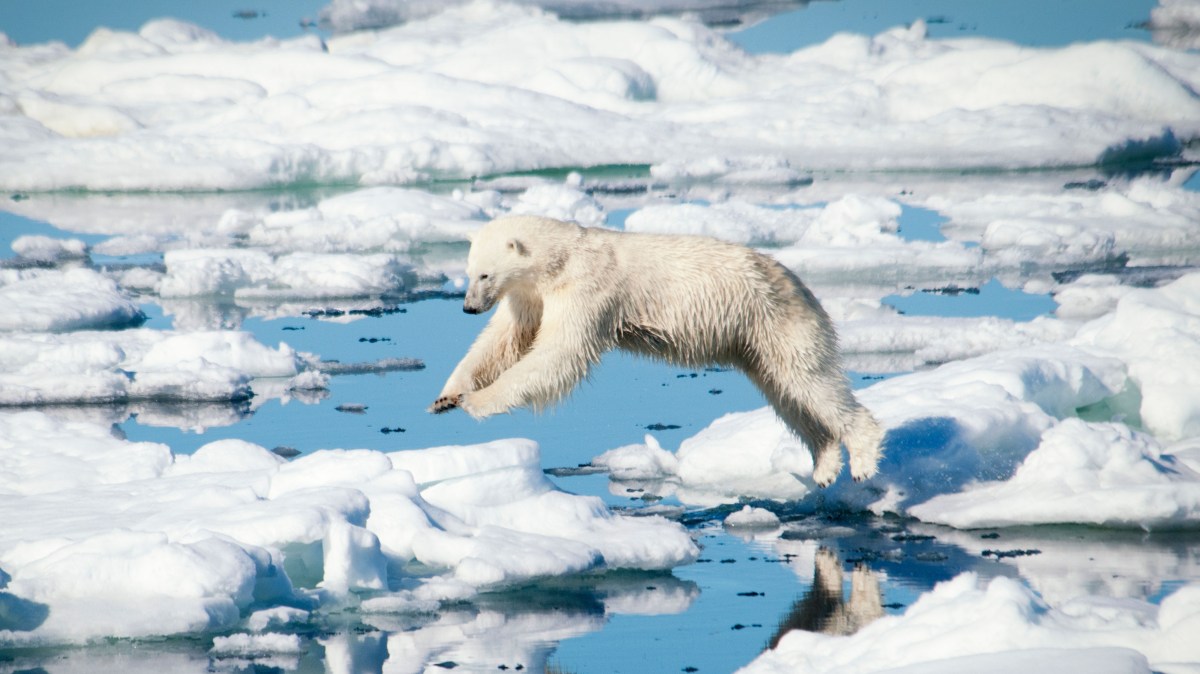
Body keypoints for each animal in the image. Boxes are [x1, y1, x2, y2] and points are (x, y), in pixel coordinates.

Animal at [429, 215, 884, 486]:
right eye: (468, 272)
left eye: (484, 274)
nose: (469, 307)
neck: (561, 258)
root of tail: (801, 285)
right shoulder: (531, 295)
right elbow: (504, 341)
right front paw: (447, 396)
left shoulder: (587, 291)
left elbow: (558, 354)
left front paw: (478, 401)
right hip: (756, 341)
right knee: (787, 395)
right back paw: (825, 464)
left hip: (777, 320)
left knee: (811, 382)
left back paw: (862, 460)